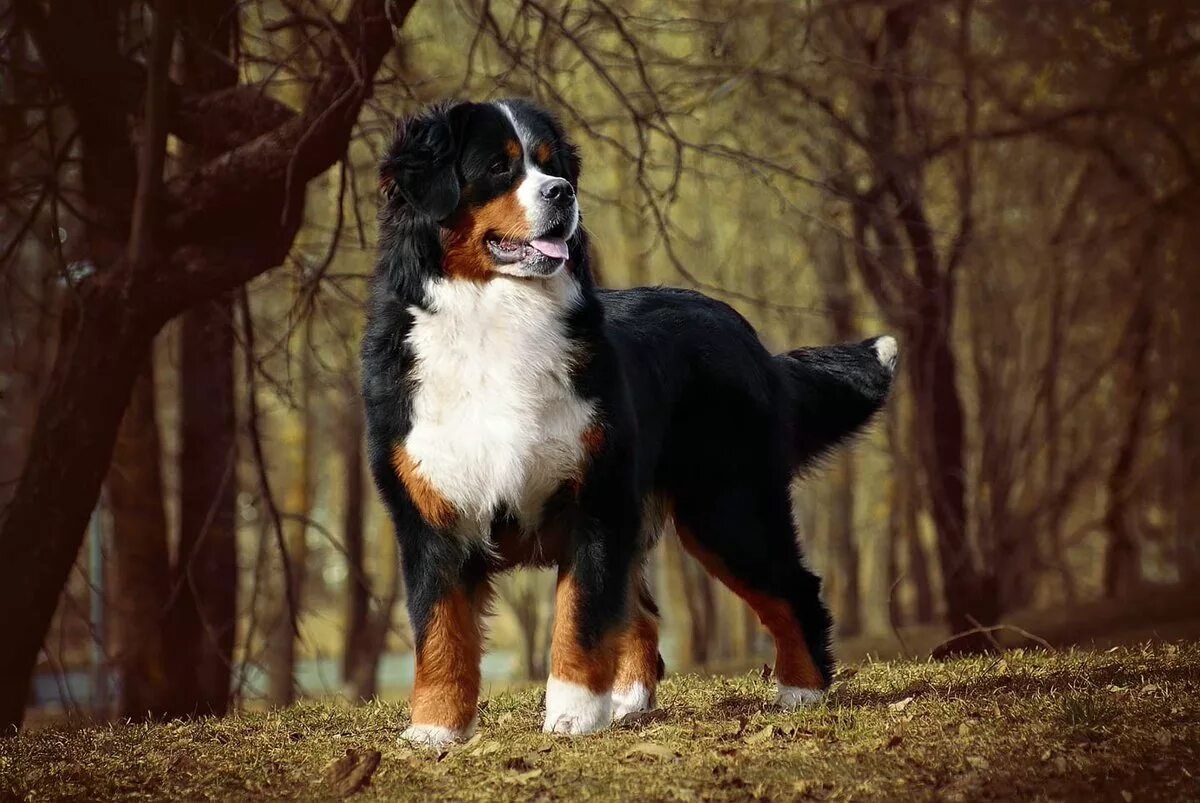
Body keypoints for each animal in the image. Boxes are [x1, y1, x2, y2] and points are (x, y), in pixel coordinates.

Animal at [360, 98, 897, 744]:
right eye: (497, 167)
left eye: (551, 165)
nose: (563, 193)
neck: (496, 320)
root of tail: (747, 337)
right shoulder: (430, 515)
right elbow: (440, 632)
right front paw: (434, 730)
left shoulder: (595, 500)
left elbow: (581, 620)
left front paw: (571, 716)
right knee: (641, 611)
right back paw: (630, 704)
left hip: (727, 508)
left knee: (791, 587)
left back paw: (800, 691)